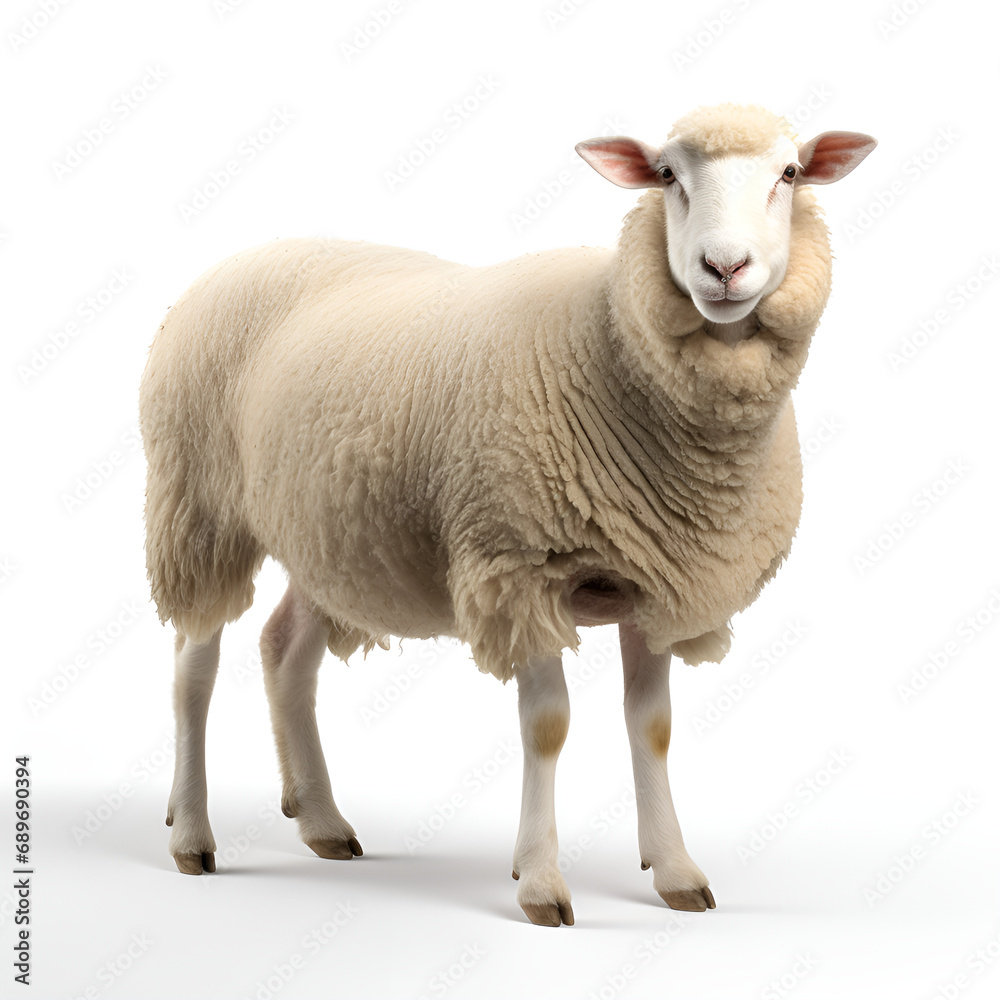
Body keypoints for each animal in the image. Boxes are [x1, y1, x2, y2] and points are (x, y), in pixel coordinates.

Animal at [140, 102, 876, 926]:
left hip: (327, 528)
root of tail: (243, 255)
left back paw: (323, 820)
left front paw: (675, 870)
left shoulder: (656, 577)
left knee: (284, 651)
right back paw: (192, 835)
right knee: (194, 667)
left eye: (790, 174)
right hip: (198, 503)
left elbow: (652, 728)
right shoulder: (520, 568)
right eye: (666, 176)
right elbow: (547, 727)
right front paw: (540, 882)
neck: (608, 344)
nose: (724, 268)